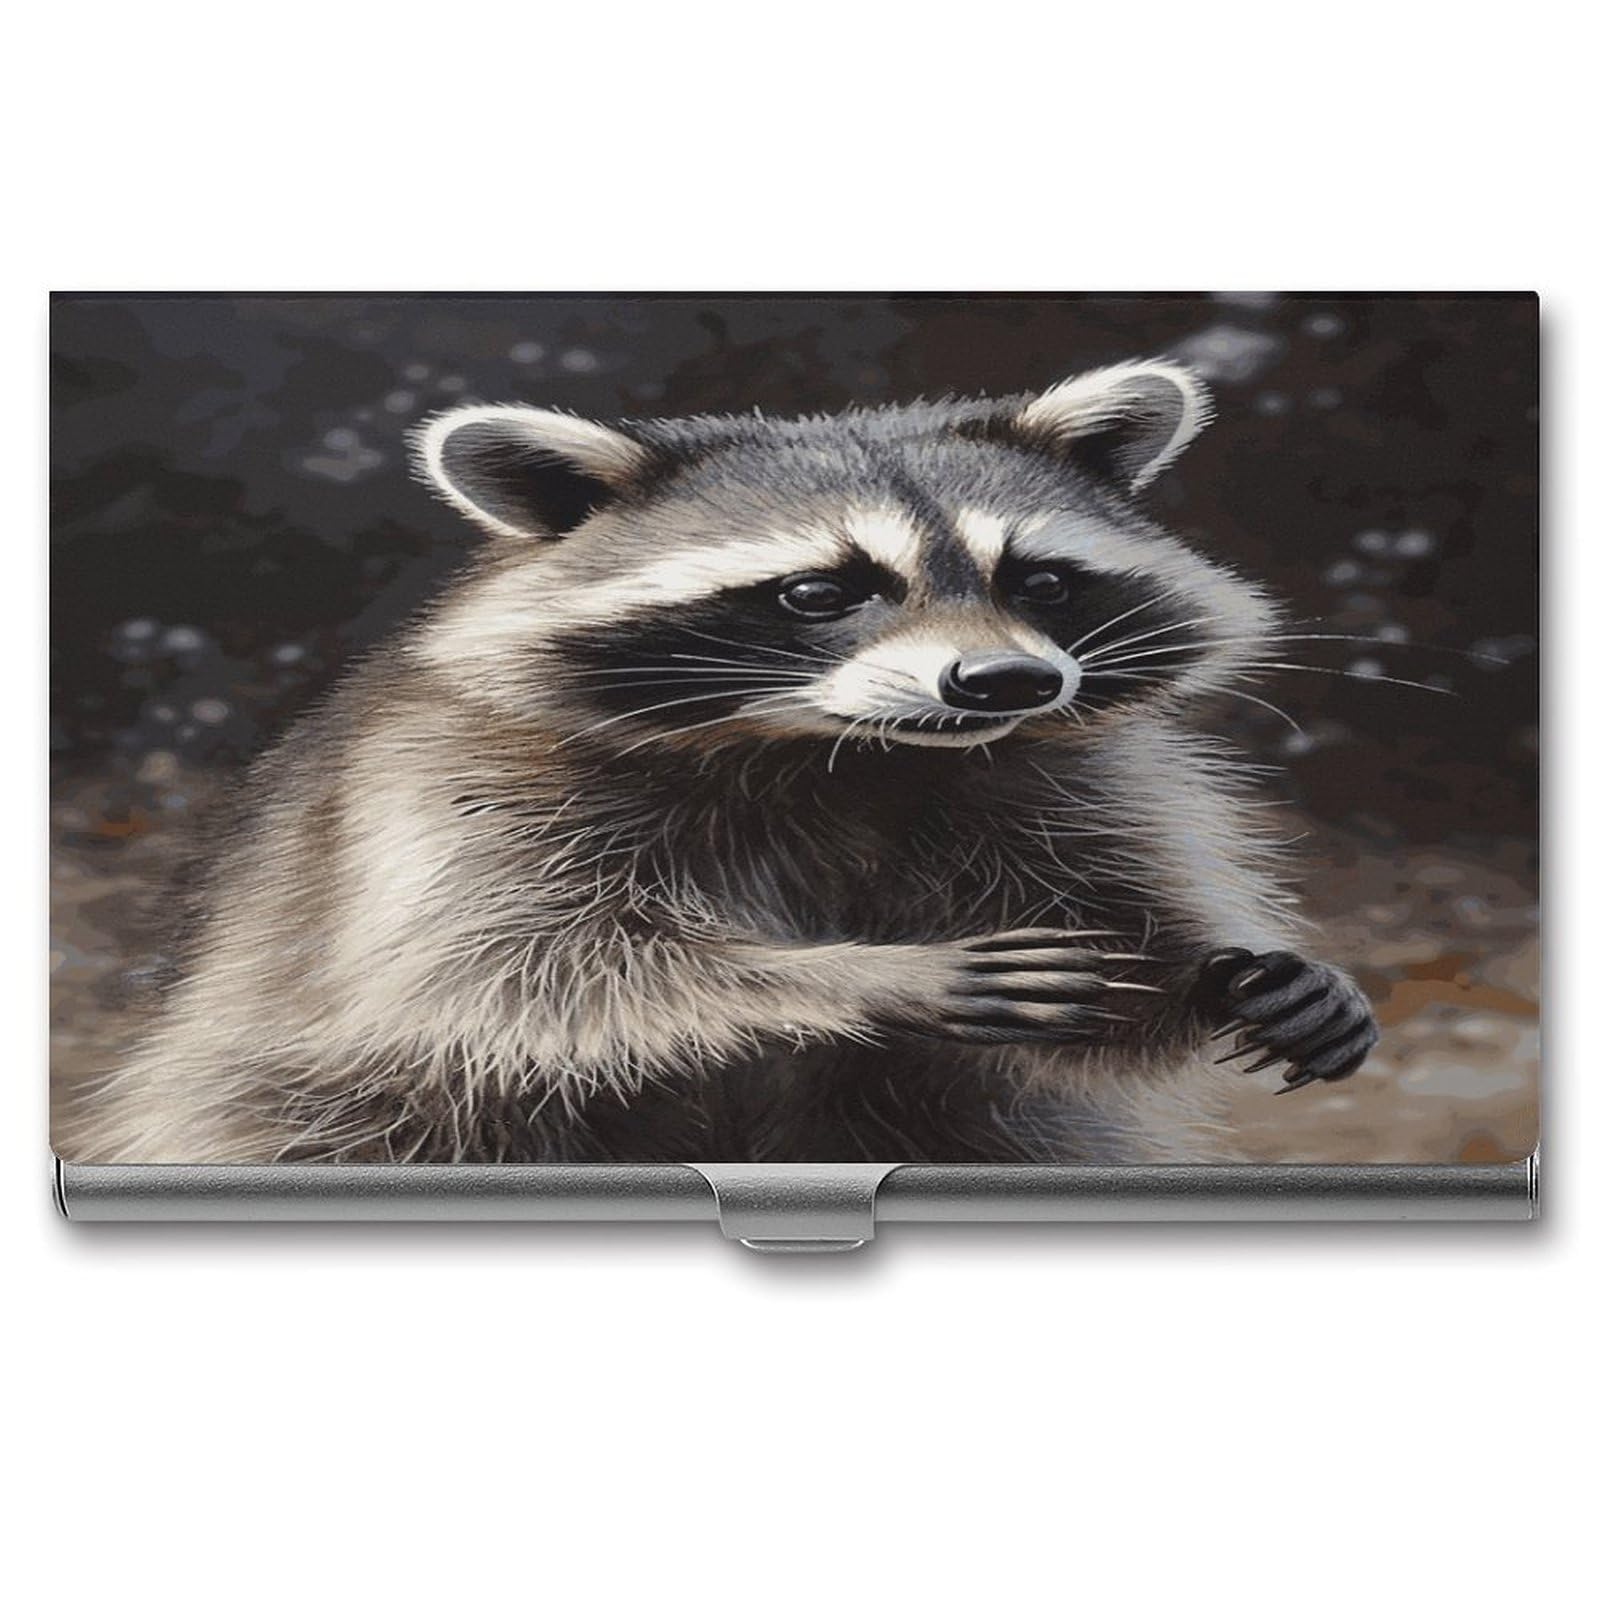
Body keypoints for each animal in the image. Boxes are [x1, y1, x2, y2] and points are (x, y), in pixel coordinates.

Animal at [77, 359, 1377, 1165]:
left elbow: (1113, 928)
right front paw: (855, 976)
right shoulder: (453, 790)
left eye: (1042, 581)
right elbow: (506, 970)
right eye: (818, 592)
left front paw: (1226, 971)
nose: (1009, 684)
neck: (839, 753)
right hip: (309, 1108)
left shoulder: (1049, 777)